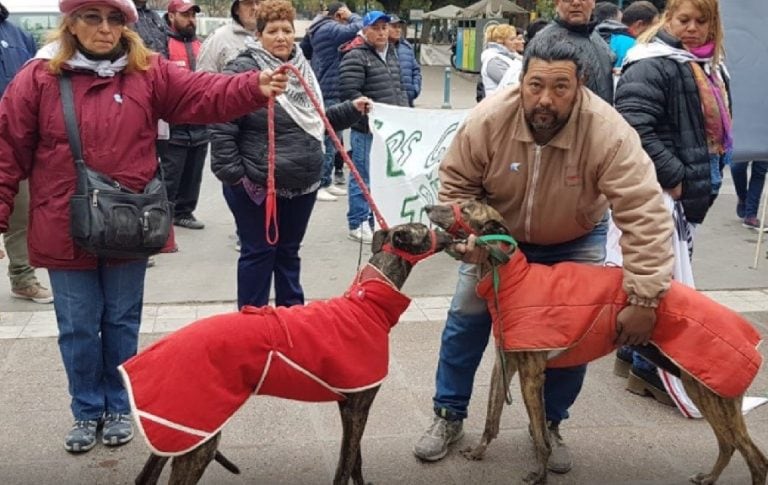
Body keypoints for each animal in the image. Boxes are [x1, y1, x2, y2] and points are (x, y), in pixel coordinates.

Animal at [122, 223, 452, 484]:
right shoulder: (357, 407)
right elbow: (344, 467)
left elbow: (356, 461)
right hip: (198, 437)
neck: (366, 305)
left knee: (145, 476)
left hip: (179, 430)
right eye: (425, 228)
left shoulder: (351, 405)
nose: (452, 233)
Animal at [426, 200, 768, 484]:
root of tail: (751, 340)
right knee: (728, 445)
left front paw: (539, 474)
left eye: (466, 208)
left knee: (755, 458)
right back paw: (708, 478)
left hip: (712, 395)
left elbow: (541, 435)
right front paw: (479, 452)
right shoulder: (505, 365)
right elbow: (492, 416)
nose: (429, 207)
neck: (511, 278)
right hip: (703, 391)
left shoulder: (531, 375)